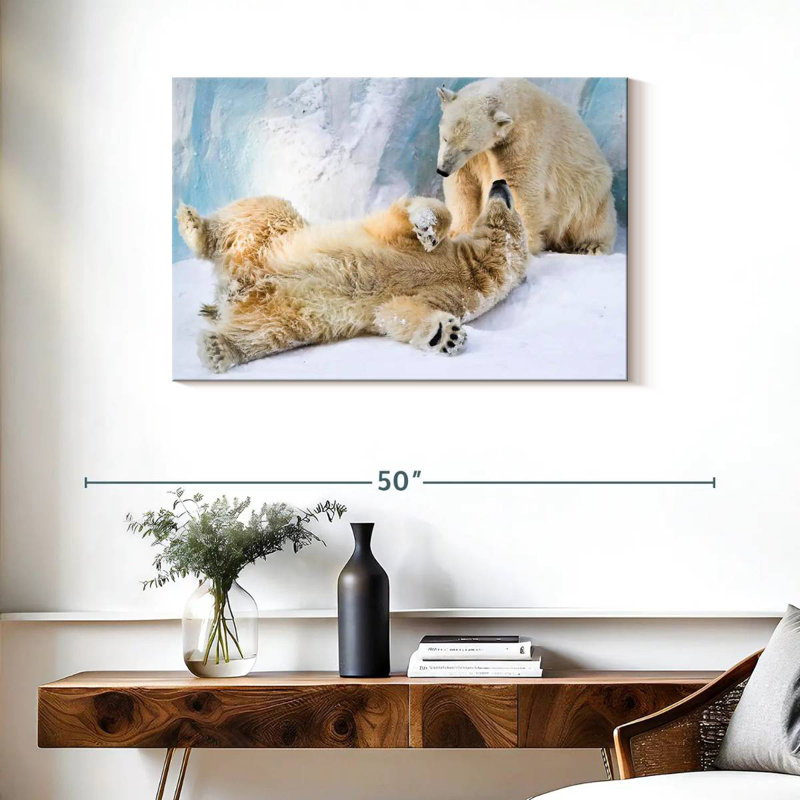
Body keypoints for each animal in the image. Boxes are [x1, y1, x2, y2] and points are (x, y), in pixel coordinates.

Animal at [177, 180, 529, 373]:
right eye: (509, 199)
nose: (499, 182)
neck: (472, 268)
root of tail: (235, 284)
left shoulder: (455, 296)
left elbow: (396, 312)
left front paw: (446, 335)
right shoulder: (405, 243)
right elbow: (408, 218)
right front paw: (427, 227)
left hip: (287, 311)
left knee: (266, 333)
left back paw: (219, 348)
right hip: (272, 236)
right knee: (261, 209)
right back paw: (194, 225)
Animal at [436, 78, 617, 255]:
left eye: (468, 148)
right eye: (445, 138)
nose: (442, 170)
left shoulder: (525, 141)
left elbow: (520, 187)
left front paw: (520, 243)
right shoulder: (473, 159)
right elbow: (463, 186)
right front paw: (456, 233)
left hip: (589, 191)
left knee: (592, 219)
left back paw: (590, 246)